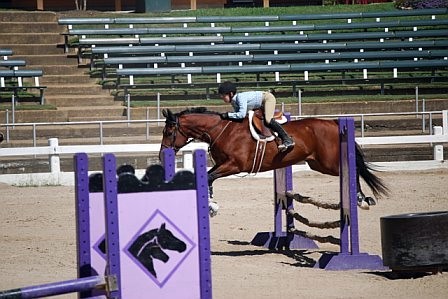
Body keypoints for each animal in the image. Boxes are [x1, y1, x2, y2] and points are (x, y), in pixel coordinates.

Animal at [158, 107, 388, 209]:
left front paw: (211, 203)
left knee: (353, 170)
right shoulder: (225, 164)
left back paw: (361, 199)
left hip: (329, 163)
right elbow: (208, 176)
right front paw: (211, 201)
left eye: (168, 132)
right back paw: (363, 198)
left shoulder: (234, 165)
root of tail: (334, 123)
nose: (161, 155)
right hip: (318, 164)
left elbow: (209, 176)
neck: (221, 130)